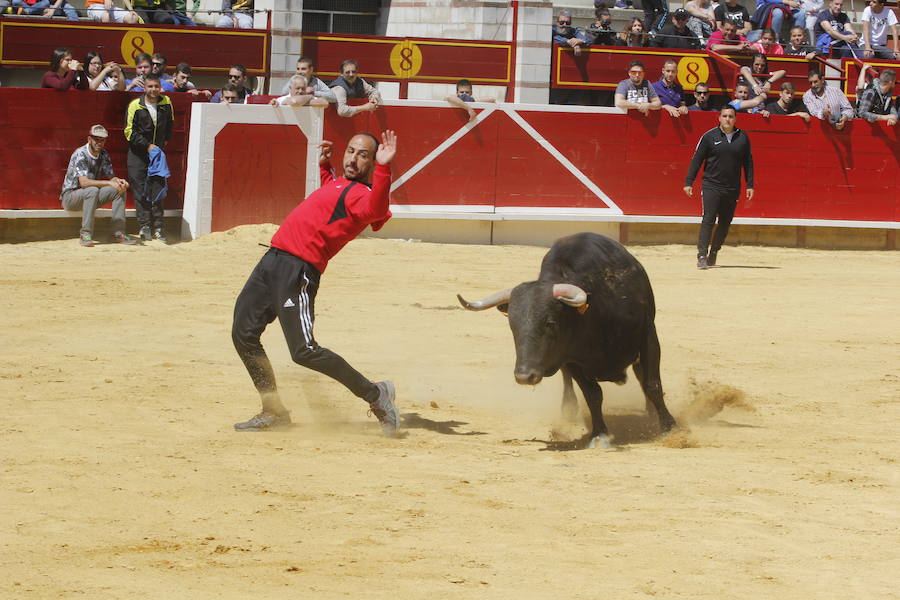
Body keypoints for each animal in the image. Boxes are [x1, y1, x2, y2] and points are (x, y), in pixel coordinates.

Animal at [458, 232, 676, 448]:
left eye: (550, 323)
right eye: (513, 325)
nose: (524, 376)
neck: (595, 309)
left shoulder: (648, 336)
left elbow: (652, 384)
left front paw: (669, 427)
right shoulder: (571, 359)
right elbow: (592, 393)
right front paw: (600, 435)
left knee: (642, 376)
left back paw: (650, 412)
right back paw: (569, 411)